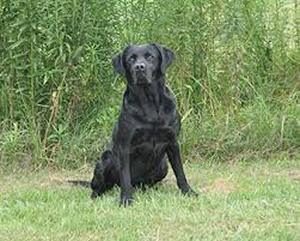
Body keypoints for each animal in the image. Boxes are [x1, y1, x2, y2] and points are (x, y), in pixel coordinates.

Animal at [91, 42, 197, 205]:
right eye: (131, 59)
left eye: (150, 57)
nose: (139, 67)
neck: (150, 102)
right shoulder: (125, 146)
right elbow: (125, 178)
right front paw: (126, 200)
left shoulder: (173, 142)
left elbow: (180, 172)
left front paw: (188, 191)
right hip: (106, 159)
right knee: (101, 185)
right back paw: (98, 194)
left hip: (163, 166)